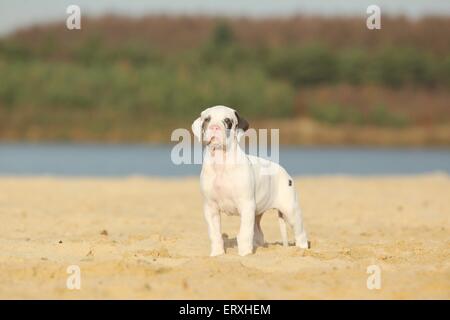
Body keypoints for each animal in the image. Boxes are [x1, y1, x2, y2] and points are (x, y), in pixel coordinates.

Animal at [192, 106, 308, 256]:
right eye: (207, 119)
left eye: (227, 121)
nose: (215, 127)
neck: (221, 162)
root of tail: (285, 173)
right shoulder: (211, 208)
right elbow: (215, 234)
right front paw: (217, 254)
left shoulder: (246, 205)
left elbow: (244, 234)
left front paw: (244, 254)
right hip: (257, 214)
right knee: (259, 234)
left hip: (291, 211)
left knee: (301, 233)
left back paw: (302, 250)